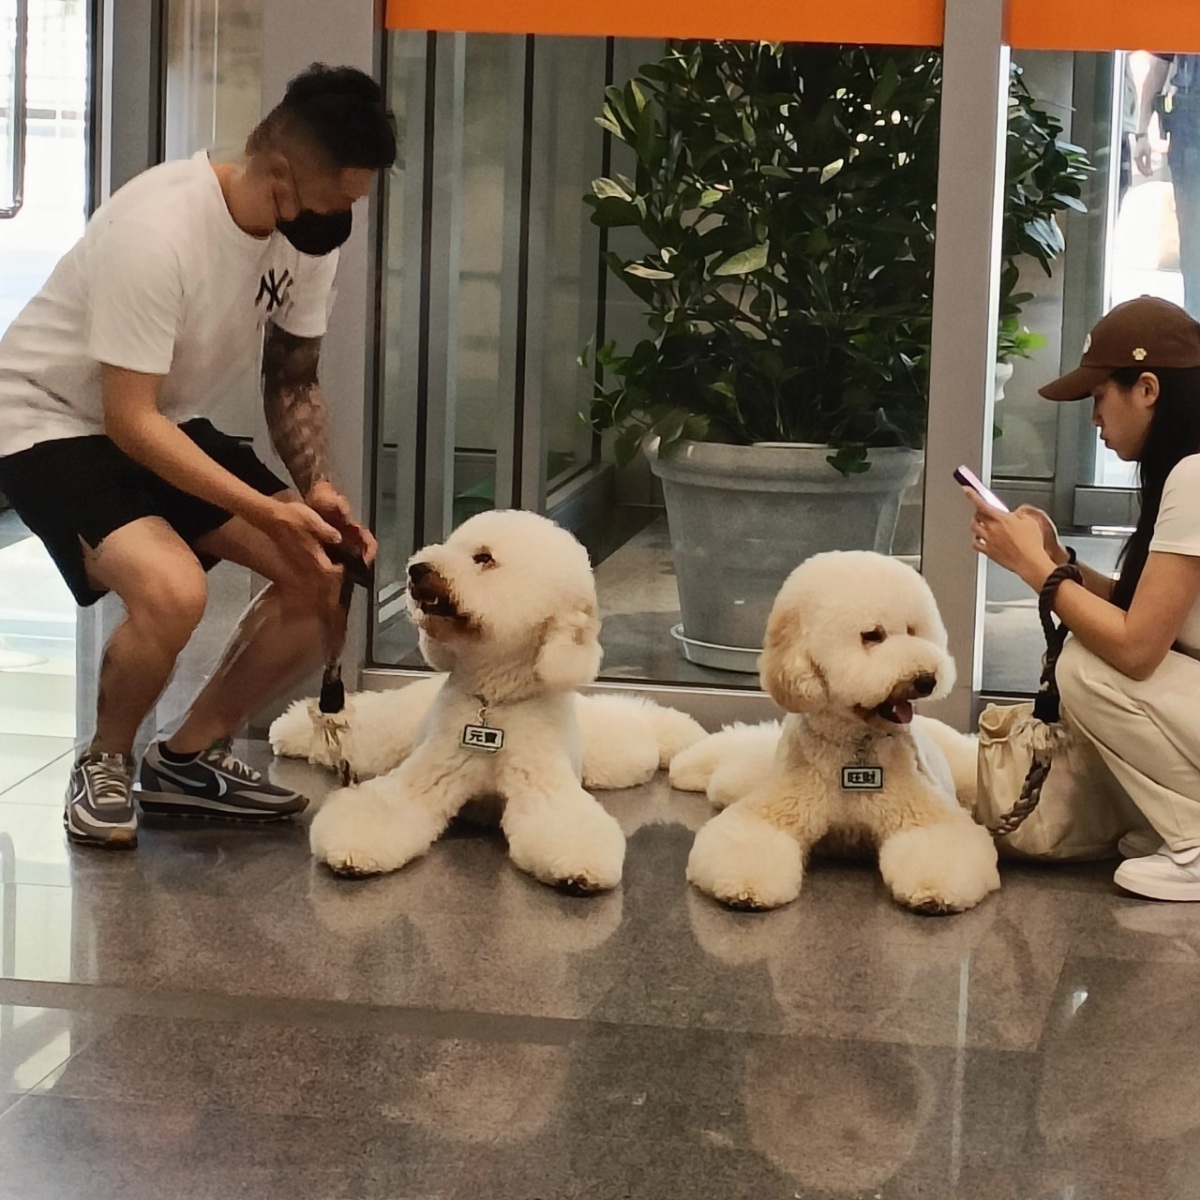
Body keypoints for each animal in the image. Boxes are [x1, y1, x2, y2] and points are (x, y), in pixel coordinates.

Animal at [273, 509, 703, 890]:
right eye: (451, 544)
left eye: (483, 558)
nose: (417, 569)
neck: (492, 704)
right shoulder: (428, 776)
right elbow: (386, 807)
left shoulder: (542, 787)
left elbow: (563, 824)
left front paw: (578, 872)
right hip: (388, 733)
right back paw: (291, 729)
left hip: (619, 753)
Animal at [671, 550, 999, 914]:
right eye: (873, 635)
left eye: (913, 631)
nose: (926, 679)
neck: (853, 749)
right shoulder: (776, 810)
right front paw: (744, 888)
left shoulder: (922, 815)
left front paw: (933, 892)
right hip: (747, 774)